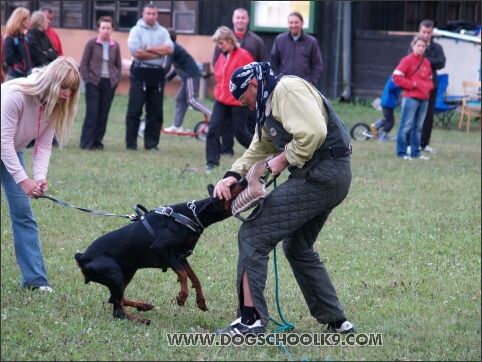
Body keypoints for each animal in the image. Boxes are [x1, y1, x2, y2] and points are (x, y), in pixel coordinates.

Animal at [76, 181, 249, 326]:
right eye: (230, 188)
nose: (243, 180)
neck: (191, 216)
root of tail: (81, 257)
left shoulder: (180, 256)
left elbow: (195, 278)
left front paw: (201, 301)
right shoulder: (160, 248)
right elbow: (183, 275)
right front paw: (181, 297)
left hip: (128, 271)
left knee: (115, 299)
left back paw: (143, 306)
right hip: (116, 274)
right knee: (118, 310)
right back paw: (140, 319)